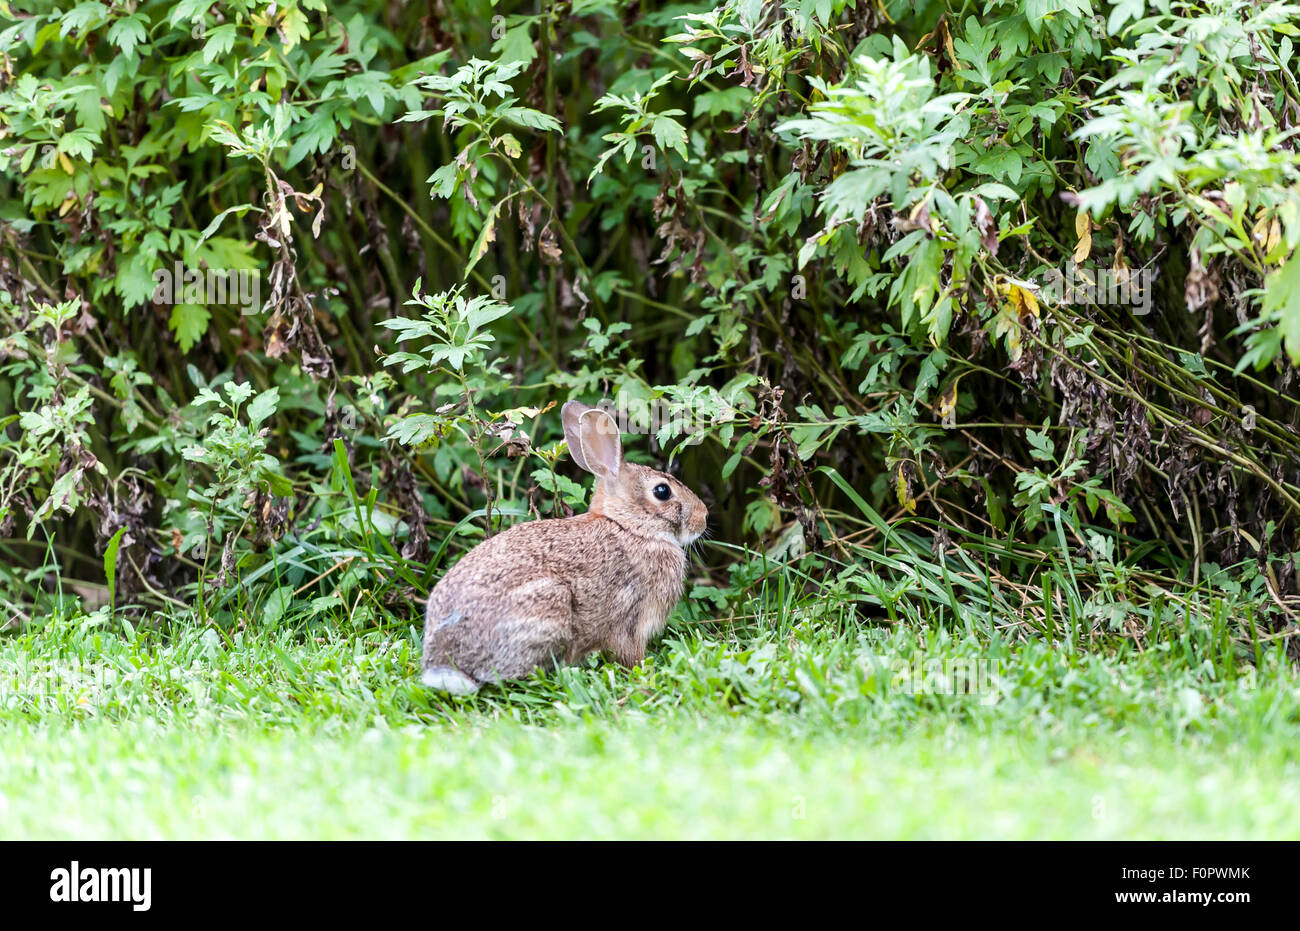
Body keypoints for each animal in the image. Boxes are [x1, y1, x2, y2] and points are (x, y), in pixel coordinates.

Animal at [421, 400, 708, 694]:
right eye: (662, 492)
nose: (704, 517)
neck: (629, 527)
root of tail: (445, 664)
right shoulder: (631, 619)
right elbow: (630, 654)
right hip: (548, 608)